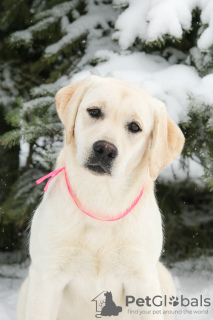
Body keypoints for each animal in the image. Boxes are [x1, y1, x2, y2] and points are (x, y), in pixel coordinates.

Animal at [17, 75, 185, 320]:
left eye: (135, 127)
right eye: (94, 111)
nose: (105, 149)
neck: (101, 199)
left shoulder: (142, 277)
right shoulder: (47, 275)